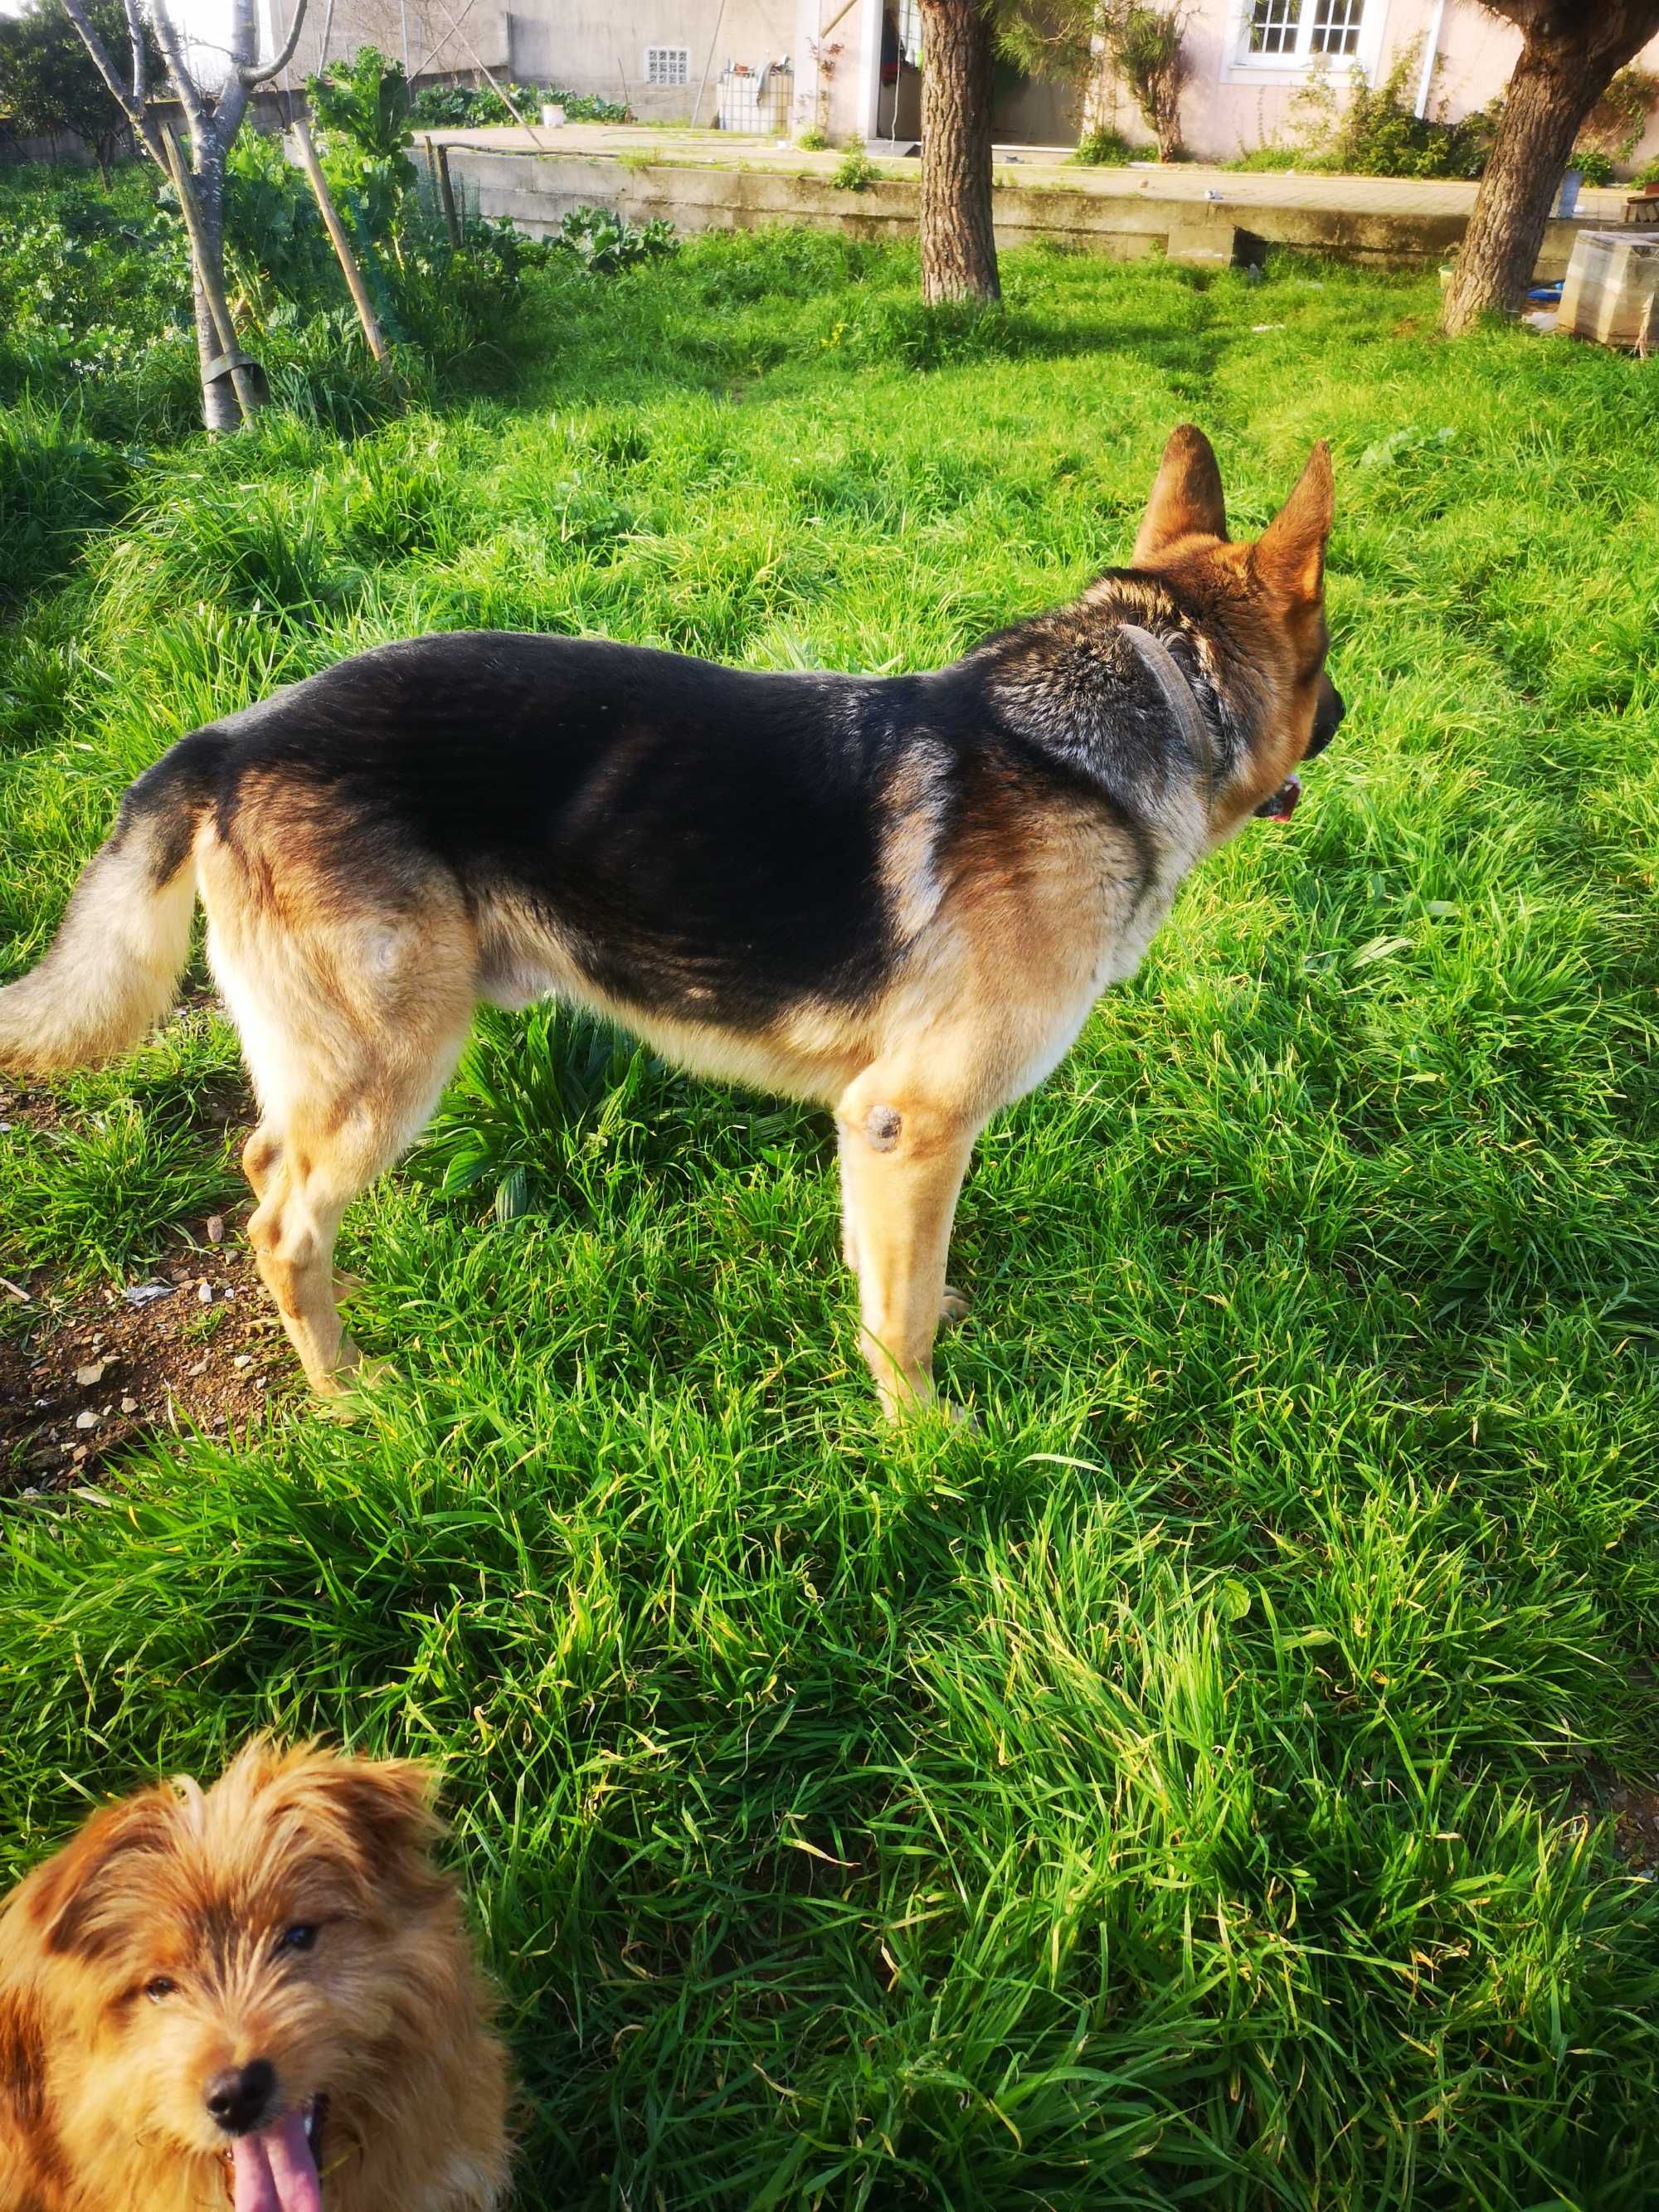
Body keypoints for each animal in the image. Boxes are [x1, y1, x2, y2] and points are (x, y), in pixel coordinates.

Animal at [0, 422, 1345, 1415]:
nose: (1347, 718)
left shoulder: (871, 1129)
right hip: (390, 1059)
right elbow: (902, 1317)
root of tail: (229, 740)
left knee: (261, 1164)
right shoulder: (914, 1120)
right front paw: (923, 1440)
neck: (1153, 693)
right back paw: (346, 1392)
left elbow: (883, 1273)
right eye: (1330, 664)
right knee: (280, 1219)